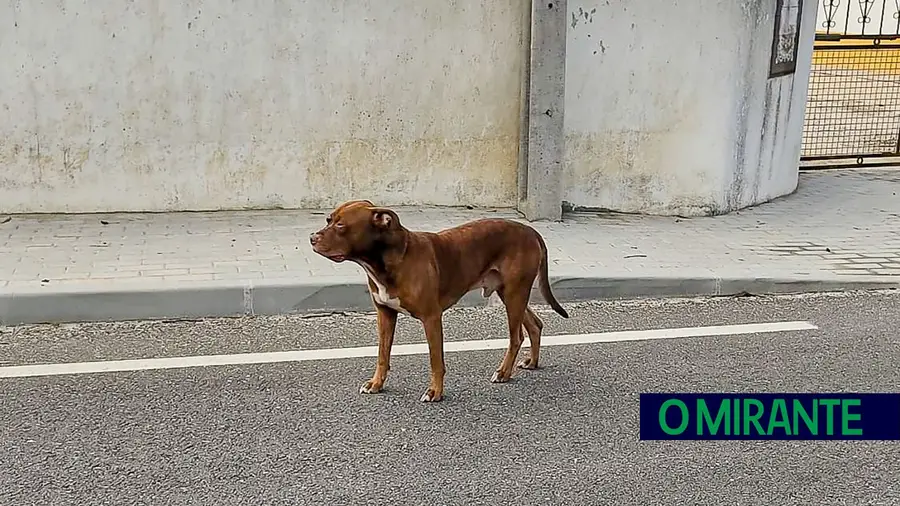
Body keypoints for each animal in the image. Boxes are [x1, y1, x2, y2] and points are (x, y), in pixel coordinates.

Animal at [310, 200, 568, 402]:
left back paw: (504, 373)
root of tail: (530, 231)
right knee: (534, 325)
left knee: (516, 337)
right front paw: (376, 384)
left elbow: (436, 360)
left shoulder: (431, 318)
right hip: (510, 294)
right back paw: (532, 362)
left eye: (341, 225)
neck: (388, 261)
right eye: (328, 219)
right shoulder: (385, 314)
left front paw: (435, 392)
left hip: (514, 293)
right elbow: (382, 355)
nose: (312, 238)